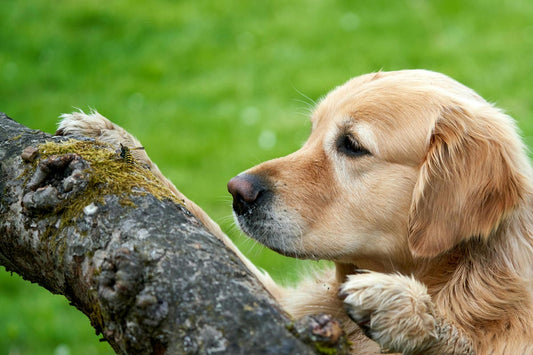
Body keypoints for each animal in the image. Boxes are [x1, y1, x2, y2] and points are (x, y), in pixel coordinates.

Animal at [57, 70, 528, 355]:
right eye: (312, 133)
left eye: (351, 145)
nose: (238, 192)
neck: (451, 277)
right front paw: (115, 142)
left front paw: (409, 311)